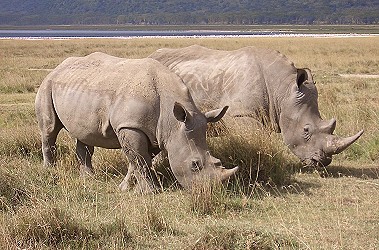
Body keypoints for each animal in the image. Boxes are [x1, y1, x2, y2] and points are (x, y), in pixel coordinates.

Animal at [35, 52, 238, 193]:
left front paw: (126, 188)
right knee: (49, 130)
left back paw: (89, 178)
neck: (172, 120)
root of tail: (58, 67)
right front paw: (149, 192)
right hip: (47, 85)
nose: (210, 191)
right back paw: (49, 171)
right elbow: (140, 160)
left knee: (84, 136)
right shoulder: (131, 125)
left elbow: (140, 160)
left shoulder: (156, 132)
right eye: (195, 165)